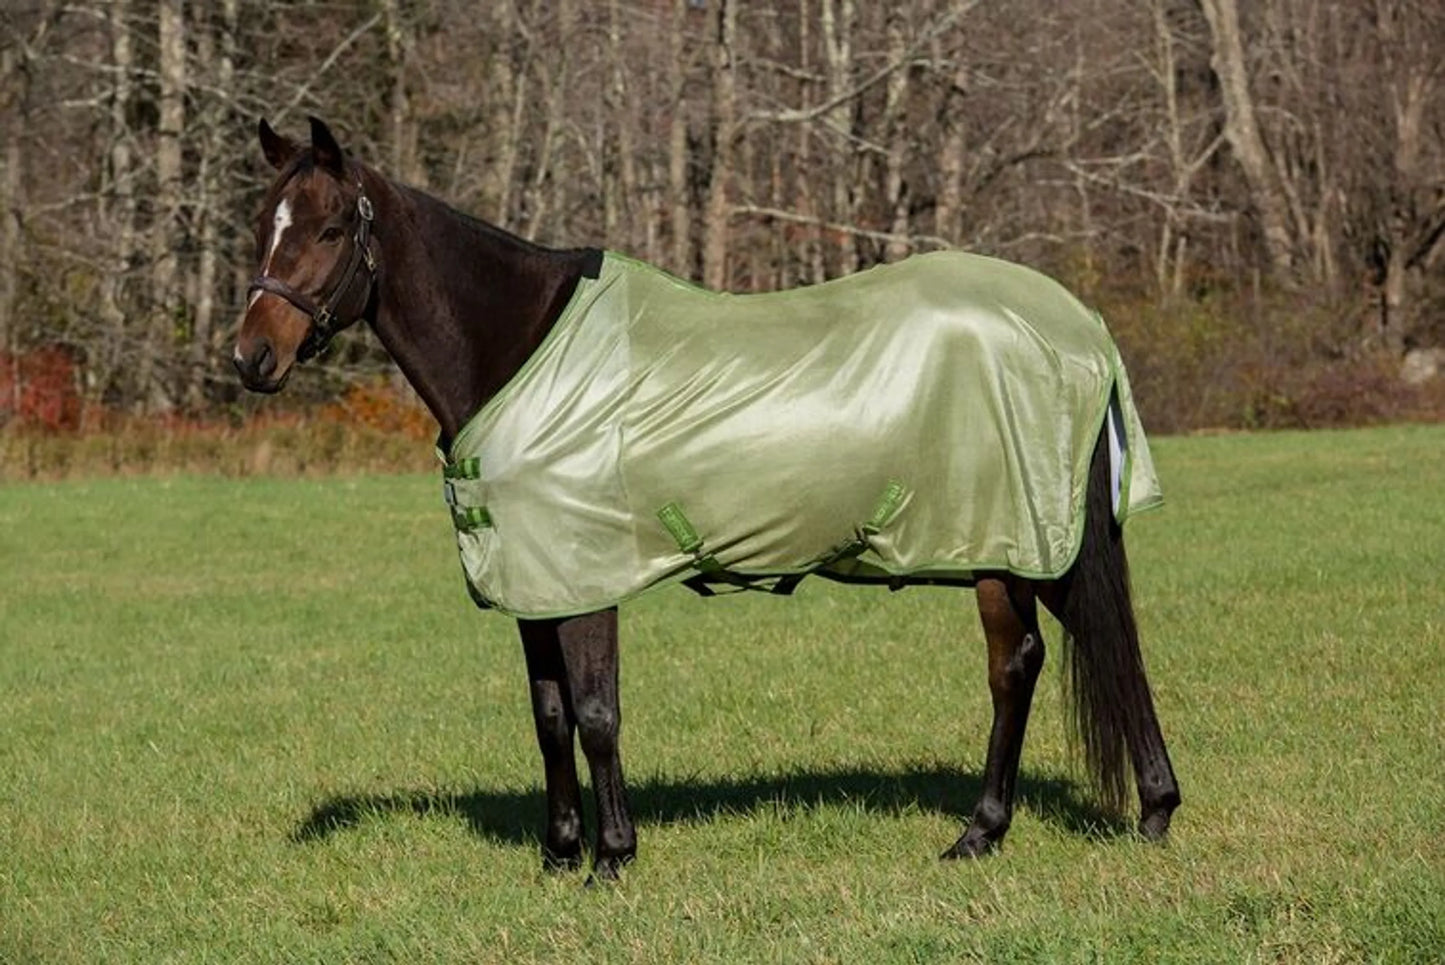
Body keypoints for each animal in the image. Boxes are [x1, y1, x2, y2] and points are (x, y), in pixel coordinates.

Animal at [233, 117, 1180, 880]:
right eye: (261, 226)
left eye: (327, 228)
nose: (252, 357)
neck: (520, 345)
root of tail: (1078, 326)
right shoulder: (536, 583)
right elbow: (549, 717)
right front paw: (558, 852)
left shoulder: (586, 580)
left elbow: (597, 713)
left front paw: (612, 858)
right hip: (1018, 545)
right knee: (1059, 655)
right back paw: (1055, 821)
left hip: (1015, 542)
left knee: (1035, 661)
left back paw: (1069, 821)